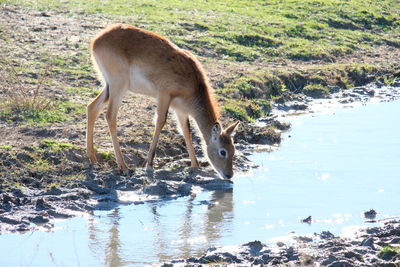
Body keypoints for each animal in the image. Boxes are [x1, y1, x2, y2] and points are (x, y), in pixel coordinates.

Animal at [86, 24, 239, 180]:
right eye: (223, 151)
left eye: (234, 150)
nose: (229, 175)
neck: (195, 85)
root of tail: (97, 40)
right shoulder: (164, 95)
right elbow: (160, 121)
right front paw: (148, 164)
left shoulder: (180, 109)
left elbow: (186, 130)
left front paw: (195, 165)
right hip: (119, 85)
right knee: (110, 116)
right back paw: (124, 167)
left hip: (108, 86)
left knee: (92, 107)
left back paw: (93, 159)